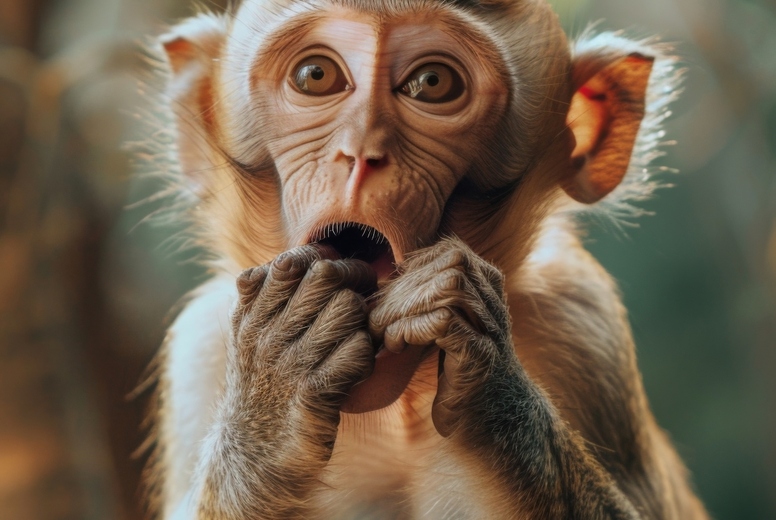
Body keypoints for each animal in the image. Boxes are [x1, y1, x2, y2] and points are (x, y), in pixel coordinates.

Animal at [142, 0, 710, 518]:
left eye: (432, 83)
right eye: (316, 75)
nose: (361, 154)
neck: (396, 408)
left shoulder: (585, 328)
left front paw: (488, 373)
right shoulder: (199, 346)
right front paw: (277, 381)